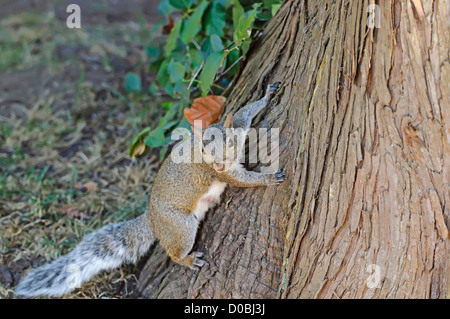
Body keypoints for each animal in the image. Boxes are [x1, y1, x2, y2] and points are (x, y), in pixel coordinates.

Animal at [16, 82, 288, 298]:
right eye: (204, 150)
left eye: (230, 142)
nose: (219, 164)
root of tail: (153, 219)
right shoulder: (220, 174)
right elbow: (242, 179)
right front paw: (268, 178)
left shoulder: (238, 126)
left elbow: (245, 113)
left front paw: (268, 94)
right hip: (179, 226)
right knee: (174, 252)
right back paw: (188, 259)